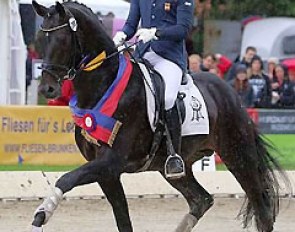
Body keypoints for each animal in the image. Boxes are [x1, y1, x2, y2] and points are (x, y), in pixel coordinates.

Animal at [31, 0, 290, 231]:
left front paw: (43, 212)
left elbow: (65, 179)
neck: (104, 86)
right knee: (202, 199)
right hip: (177, 167)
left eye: (62, 40)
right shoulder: (107, 172)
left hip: (238, 155)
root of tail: (230, 92)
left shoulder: (111, 162)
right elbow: (123, 220)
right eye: (39, 39)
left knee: (262, 209)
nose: (47, 89)